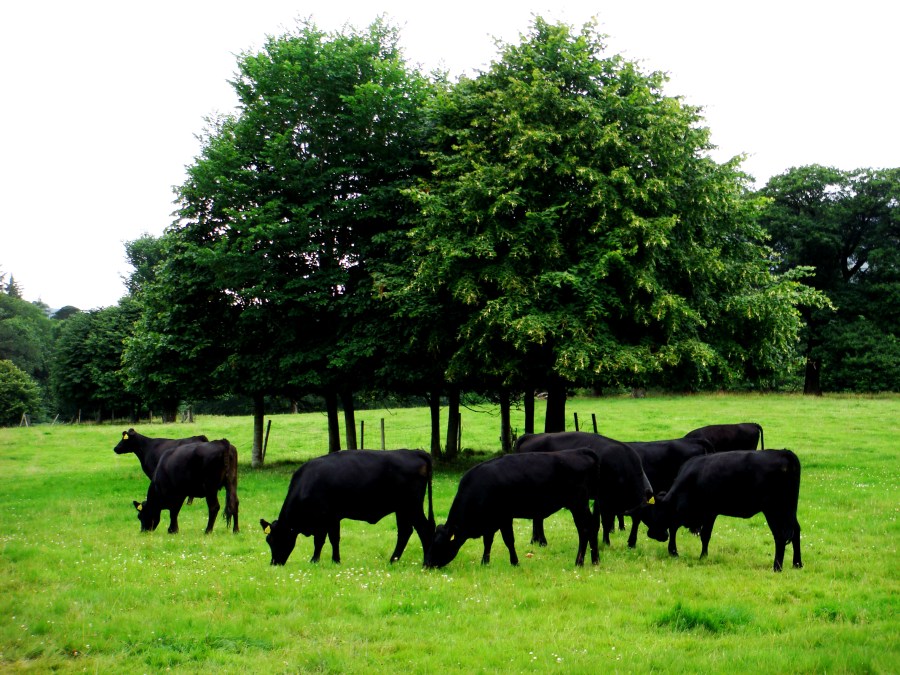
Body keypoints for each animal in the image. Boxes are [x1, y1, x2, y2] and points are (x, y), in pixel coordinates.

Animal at [260, 450, 434, 566]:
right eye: (268, 540)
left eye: (275, 539)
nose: (274, 563)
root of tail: (414, 452)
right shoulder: (333, 517)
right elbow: (334, 538)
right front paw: (336, 560)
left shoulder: (322, 518)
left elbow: (319, 540)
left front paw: (314, 561)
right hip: (402, 509)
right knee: (405, 532)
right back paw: (393, 560)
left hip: (411, 506)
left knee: (424, 529)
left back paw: (426, 562)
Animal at [424, 445, 653, 568]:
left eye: (437, 544)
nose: (427, 564)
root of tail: (581, 452)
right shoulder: (491, 519)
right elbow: (488, 540)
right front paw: (485, 562)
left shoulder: (504, 516)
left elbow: (508, 540)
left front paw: (514, 562)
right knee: (591, 528)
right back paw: (594, 560)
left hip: (577, 503)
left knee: (585, 528)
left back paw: (579, 561)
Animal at [513, 431, 649, 546]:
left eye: (640, 519)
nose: (632, 544)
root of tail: (531, 436)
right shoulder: (604, 498)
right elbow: (605, 521)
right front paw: (605, 543)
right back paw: (541, 541)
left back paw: (535, 540)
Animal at [644, 449, 802, 571]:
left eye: (653, 514)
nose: (652, 534)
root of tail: (784, 452)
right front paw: (702, 556)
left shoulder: (706, 512)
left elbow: (686, 530)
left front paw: (682, 553)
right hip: (789, 510)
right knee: (796, 531)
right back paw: (797, 564)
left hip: (773, 509)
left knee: (780, 536)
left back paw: (777, 567)